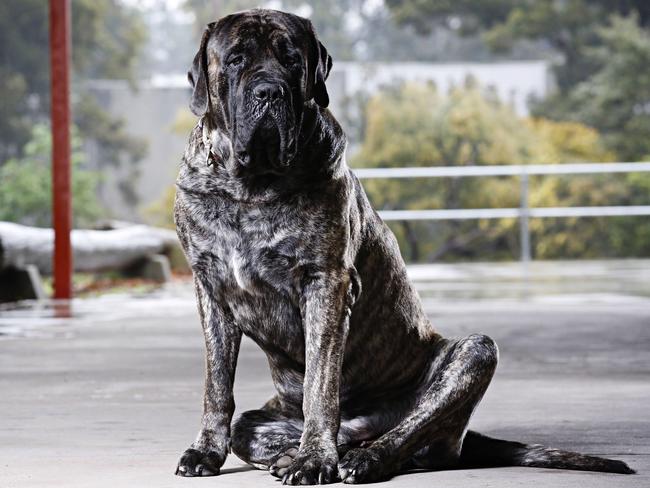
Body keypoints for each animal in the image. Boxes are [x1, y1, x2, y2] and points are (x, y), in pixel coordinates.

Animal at [172, 7, 632, 484]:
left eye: (292, 60)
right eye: (236, 59)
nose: (269, 91)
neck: (251, 187)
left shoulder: (326, 283)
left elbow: (321, 383)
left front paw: (314, 459)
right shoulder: (210, 289)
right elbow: (217, 386)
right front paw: (206, 451)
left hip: (474, 353)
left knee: (411, 437)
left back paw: (357, 458)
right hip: (266, 417)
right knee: (259, 427)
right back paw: (300, 453)